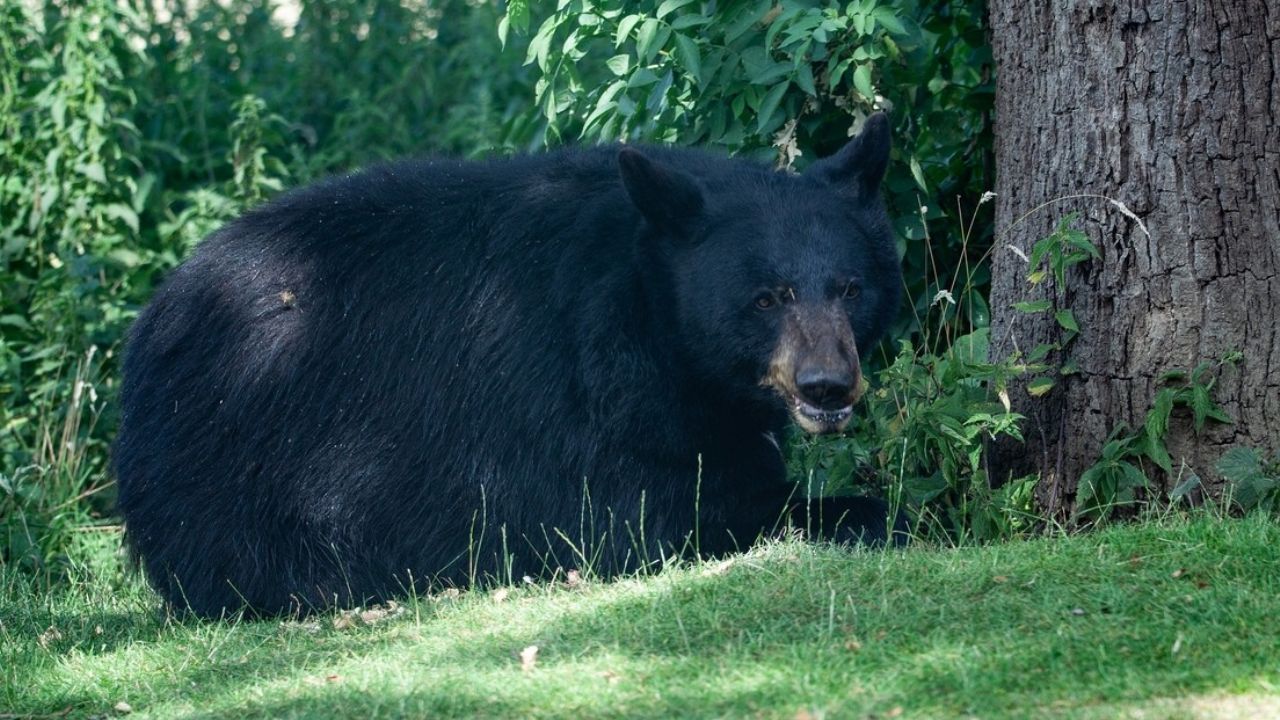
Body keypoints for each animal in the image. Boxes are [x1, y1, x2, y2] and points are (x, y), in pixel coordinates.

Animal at [113, 113, 903, 618]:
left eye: (849, 287)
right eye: (766, 298)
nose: (827, 386)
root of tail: (153, 319)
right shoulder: (577, 393)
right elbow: (651, 514)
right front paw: (871, 513)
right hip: (244, 451)